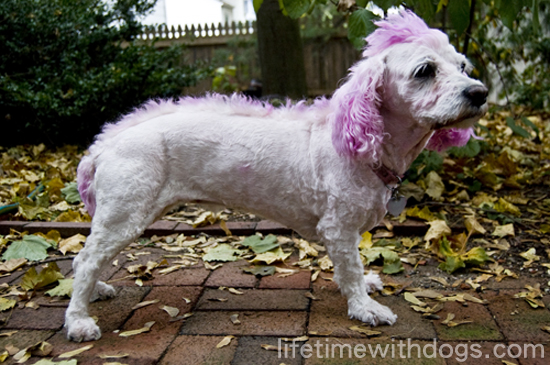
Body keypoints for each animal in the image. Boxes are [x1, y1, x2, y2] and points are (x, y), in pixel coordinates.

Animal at [64, 11, 488, 342]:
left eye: (462, 66)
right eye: (425, 70)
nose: (480, 93)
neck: (362, 143)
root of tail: (103, 144)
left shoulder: (345, 232)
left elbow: (351, 268)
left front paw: (361, 288)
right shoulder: (339, 227)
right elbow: (350, 269)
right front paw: (364, 306)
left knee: (85, 260)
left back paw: (96, 291)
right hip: (126, 214)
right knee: (86, 260)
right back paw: (79, 320)